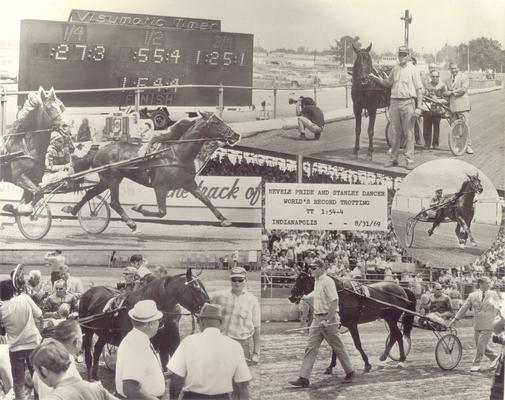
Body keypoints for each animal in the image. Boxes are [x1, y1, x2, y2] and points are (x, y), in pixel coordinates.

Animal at [0, 86, 66, 214]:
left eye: (60, 107)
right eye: (49, 108)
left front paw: (19, 208)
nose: (65, 127)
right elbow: (38, 193)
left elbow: (36, 195)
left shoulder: (35, 179)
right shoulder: (19, 177)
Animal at [62, 111, 240, 231]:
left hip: (105, 180)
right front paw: (138, 208)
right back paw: (131, 222)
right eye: (216, 122)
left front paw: (224, 219)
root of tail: (98, 151)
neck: (177, 155)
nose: (236, 135)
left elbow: (207, 200)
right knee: (114, 202)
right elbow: (162, 212)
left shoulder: (189, 183)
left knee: (89, 193)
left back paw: (73, 210)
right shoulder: (160, 187)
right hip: (113, 179)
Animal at [78, 268, 208, 382]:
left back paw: (95, 376)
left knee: (97, 350)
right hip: (87, 330)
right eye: (197, 289)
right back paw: (90, 376)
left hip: (104, 332)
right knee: (89, 352)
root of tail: (89, 292)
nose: (208, 307)